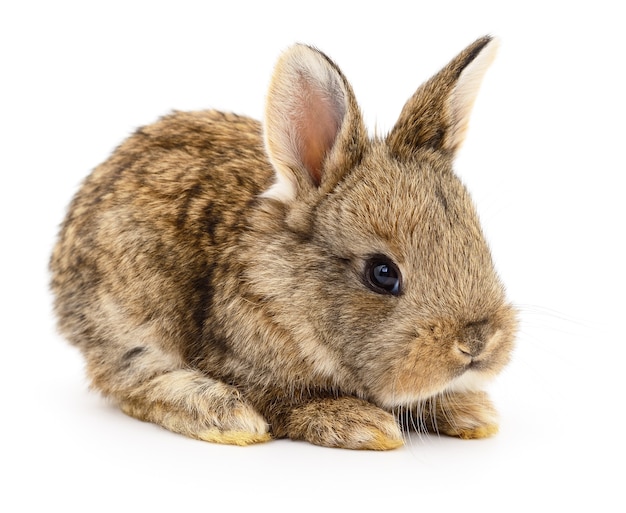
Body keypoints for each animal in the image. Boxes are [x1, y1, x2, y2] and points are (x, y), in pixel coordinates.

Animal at [50, 36, 516, 448]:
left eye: (479, 247)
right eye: (382, 273)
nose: (476, 342)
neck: (289, 295)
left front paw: (470, 412)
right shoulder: (244, 366)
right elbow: (288, 402)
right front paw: (363, 424)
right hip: (134, 317)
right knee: (130, 381)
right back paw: (223, 414)